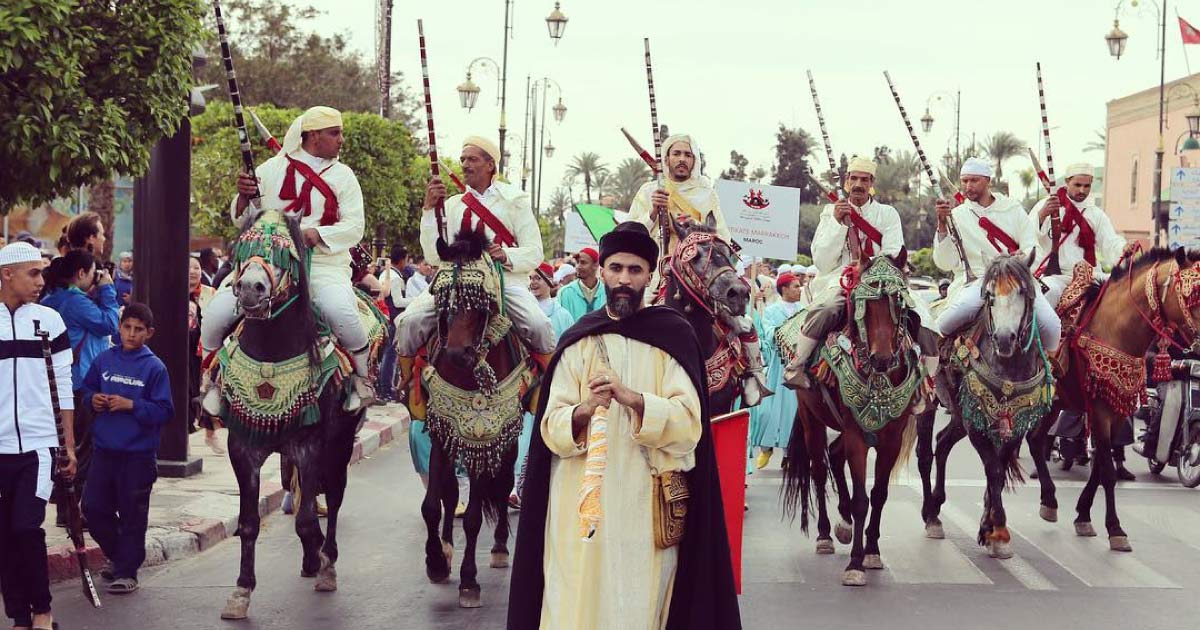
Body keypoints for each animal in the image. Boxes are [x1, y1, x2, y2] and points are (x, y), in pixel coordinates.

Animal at [216, 212, 379, 619]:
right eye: (243, 247)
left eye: (285, 254)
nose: (250, 289)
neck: (272, 350)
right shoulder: (242, 447)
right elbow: (249, 522)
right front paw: (241, 591)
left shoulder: (311, 445)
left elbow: (308, 519)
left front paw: (322, 564)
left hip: (339, 446)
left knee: (333, 497)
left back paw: (327, 559)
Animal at [417, 228, 530, 607]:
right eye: (442, 298)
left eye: (481, 300)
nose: (456, 354)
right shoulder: (442, 432)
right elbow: (432, 505)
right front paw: (436, 562)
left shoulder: (487, 436)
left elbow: (474, 518)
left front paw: (469, 581)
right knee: (451, 495)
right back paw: (447, 548)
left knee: (505, 484)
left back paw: (499, 548)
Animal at [782, 249, 921, 585]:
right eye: (863, 303)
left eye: (898, 302)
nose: (881, 359)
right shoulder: (857, 433)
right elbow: (861, 500)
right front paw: (855, 564)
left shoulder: (891, 438)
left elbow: (879, 494)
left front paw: (872, 551)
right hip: (811, 417)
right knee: (819, 470)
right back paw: (824, 535)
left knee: (834, 455)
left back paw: (843, 524)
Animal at [916, 250, 1051, 554]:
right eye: (989, 295)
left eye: (1023, 292)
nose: (1004, 339)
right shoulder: (977, 422)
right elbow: (994, 470)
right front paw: (998, 530)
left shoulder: (1014, 422)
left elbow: (997, 470)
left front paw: (987, 527)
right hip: (930, 402)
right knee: (925, 454)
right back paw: (930, 516)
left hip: (958, 413)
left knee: (943, 442)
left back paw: (937, 505)